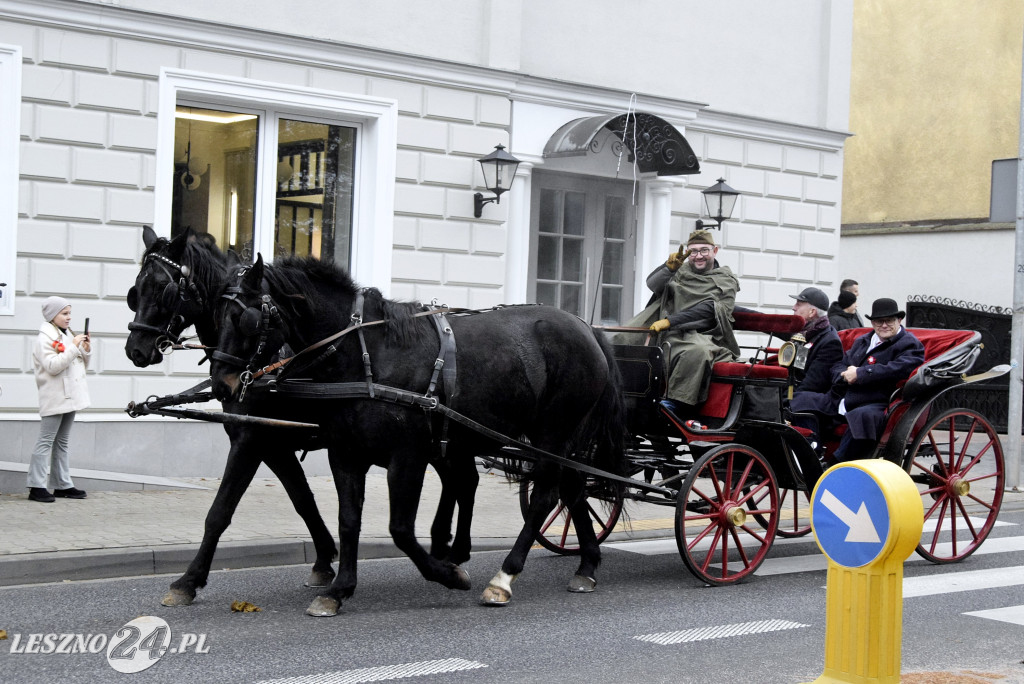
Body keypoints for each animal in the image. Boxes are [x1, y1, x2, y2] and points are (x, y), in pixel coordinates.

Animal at [121, 227, 333, 606]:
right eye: (136, 289)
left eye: (163, 288)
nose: (136, 350)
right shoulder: (272, 444)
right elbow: (303, 500)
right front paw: (324, 561)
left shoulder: (251, 441)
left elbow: (219, 512)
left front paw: (188, 580)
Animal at [207, 254, 622, 614]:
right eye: (217, 314)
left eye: (243, 318)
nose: (223, 385)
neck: (366, 355)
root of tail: (588, 328)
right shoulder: (345, 453)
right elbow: (348, 521)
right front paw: (338, 590)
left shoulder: (407, 457)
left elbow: (401, 530)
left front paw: (449, 575)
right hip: (559, 440)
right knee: (573, 488)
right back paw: (586, 566)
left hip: (553, 433)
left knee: (545, 497)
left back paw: (504, 577)